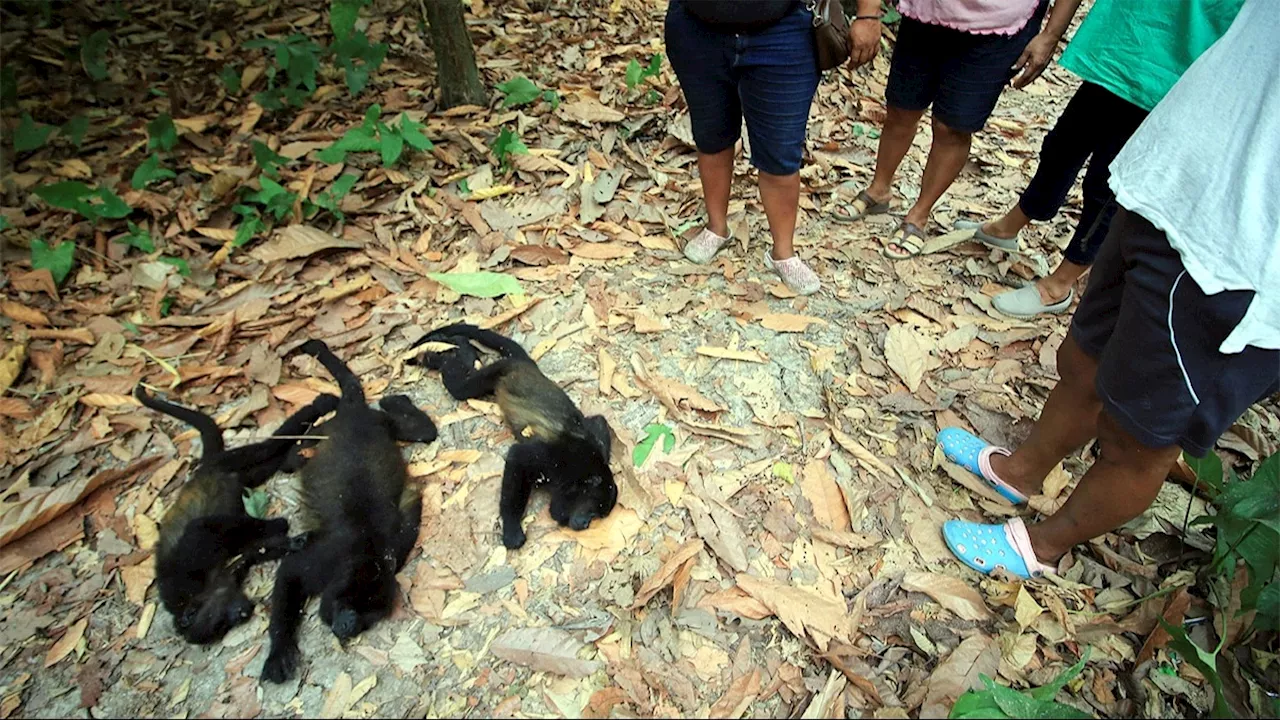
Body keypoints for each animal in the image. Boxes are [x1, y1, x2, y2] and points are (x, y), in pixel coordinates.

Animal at [134, 384, 337, 640]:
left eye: (217, 620)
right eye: (221, 628)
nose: (243, 614)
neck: (198, 593)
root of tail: (202, 469)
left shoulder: (187, 564)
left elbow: (200, 527)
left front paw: (278, 525)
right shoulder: (226, 575)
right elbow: (250, 553)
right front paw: (293, 542)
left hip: (225, 462)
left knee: (264, 448)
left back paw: (317, 409)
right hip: (239, 474)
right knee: (268, 463)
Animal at [262, 338, 437, 681]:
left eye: (369, 616)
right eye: (349, 607)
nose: (349, 627)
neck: (364, 553)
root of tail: (355, 413)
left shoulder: (394, 550)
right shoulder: (324, 560)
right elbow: (289, 572)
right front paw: (279, 651)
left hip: (381, 424)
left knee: (424, 432)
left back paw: (398, 401)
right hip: (332, 428)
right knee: (292, 458)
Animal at [404, 322, 614, 545]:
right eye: (594, 512)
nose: (585, 524)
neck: (582, 471)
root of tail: (527, 366)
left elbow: (598, 421)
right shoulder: (554, 459)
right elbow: (517, 457)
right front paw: (512, 530)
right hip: (498, 370)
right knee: (460, 386)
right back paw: (446, 354)